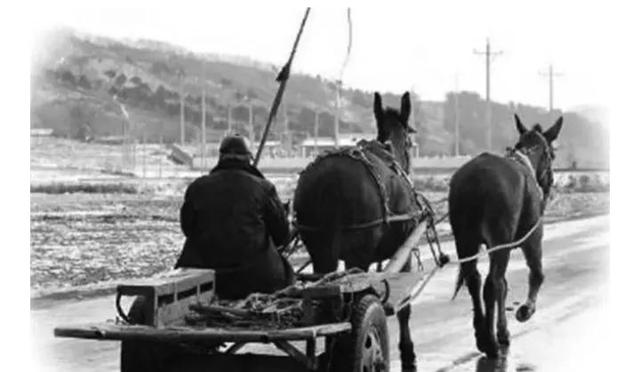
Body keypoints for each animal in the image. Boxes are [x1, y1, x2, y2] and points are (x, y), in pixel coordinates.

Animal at [292, 91, 422, 370]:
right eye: (409, 142)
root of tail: (329, 178)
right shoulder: (403, 249)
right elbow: (403, 306)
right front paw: (408, 353)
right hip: (356, 254)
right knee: (352, 306)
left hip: (320, 250)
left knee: (330, 302)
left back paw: (328, 354)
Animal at [448, 114, 564, 358]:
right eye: (552, 154)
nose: (550, 182)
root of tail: (476, 180)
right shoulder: (532, 237)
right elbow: (536, 275)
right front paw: (525, 310)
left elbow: (504, 284)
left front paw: (501, 330)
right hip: (499, 240)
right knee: (492, 283)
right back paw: (489, 342)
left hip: (465, 240)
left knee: (475, 280)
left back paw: (482, 334)